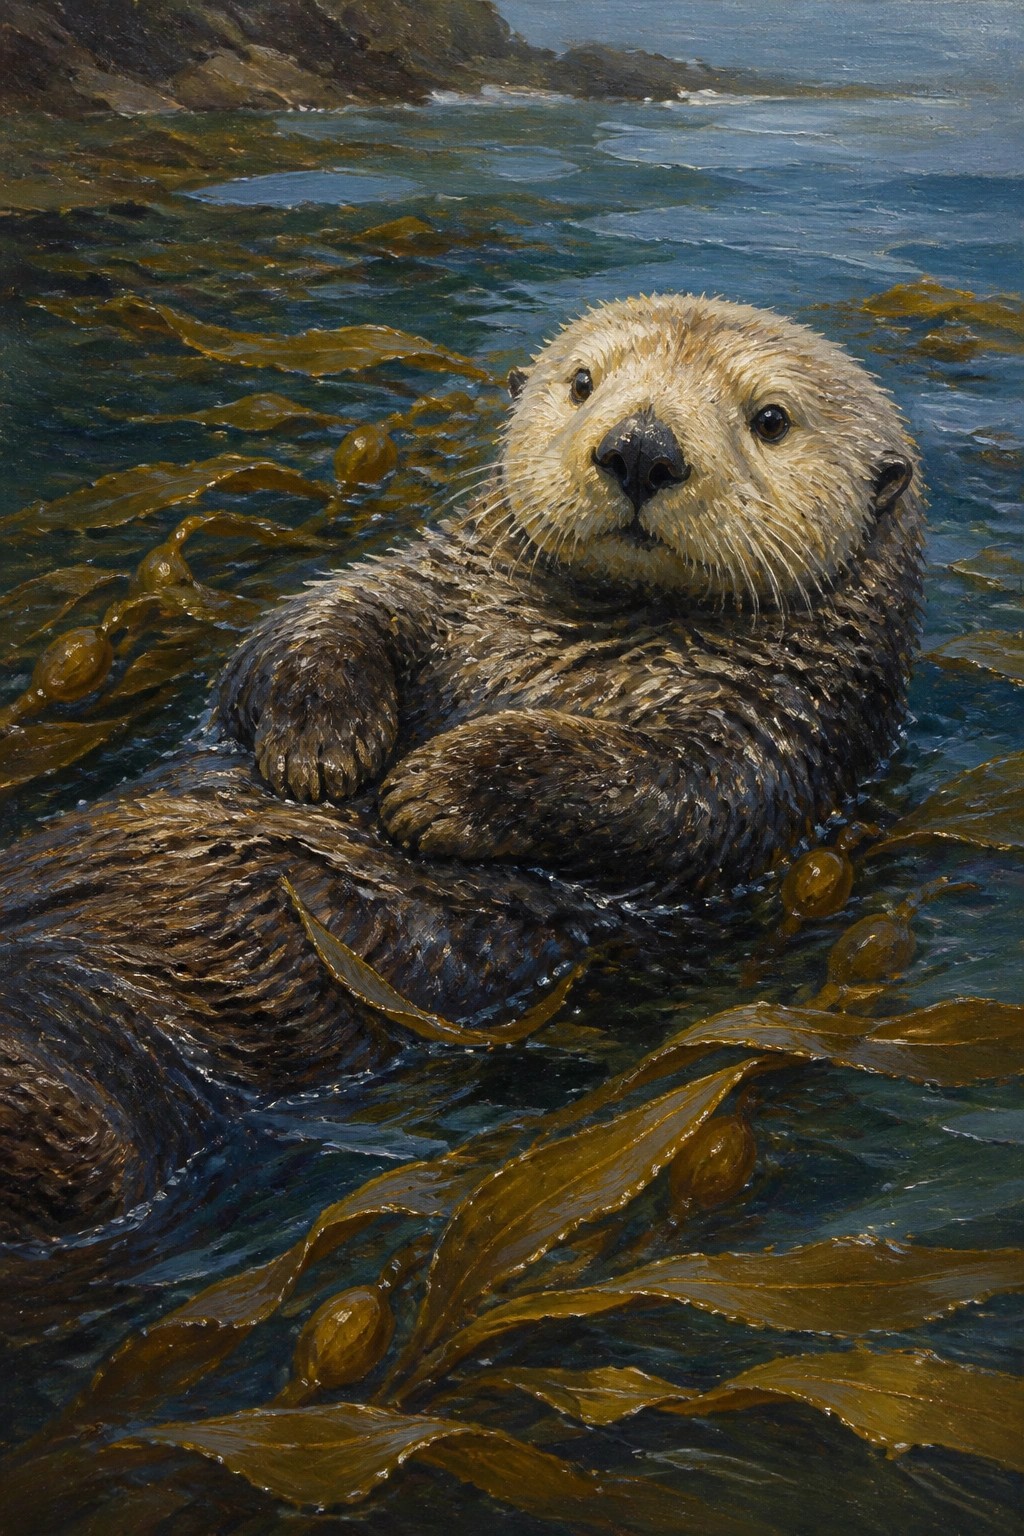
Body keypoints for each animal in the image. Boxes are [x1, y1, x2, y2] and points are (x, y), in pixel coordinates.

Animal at [0, 294, 923, 1240]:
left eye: (770, 420)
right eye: (582, 381)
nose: (640, 449)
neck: (596, 634)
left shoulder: (781, 737)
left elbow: (662, 793)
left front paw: (434, 789)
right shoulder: (430, 590)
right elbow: (304, 628)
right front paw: (321, 749)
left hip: (122, 1073)